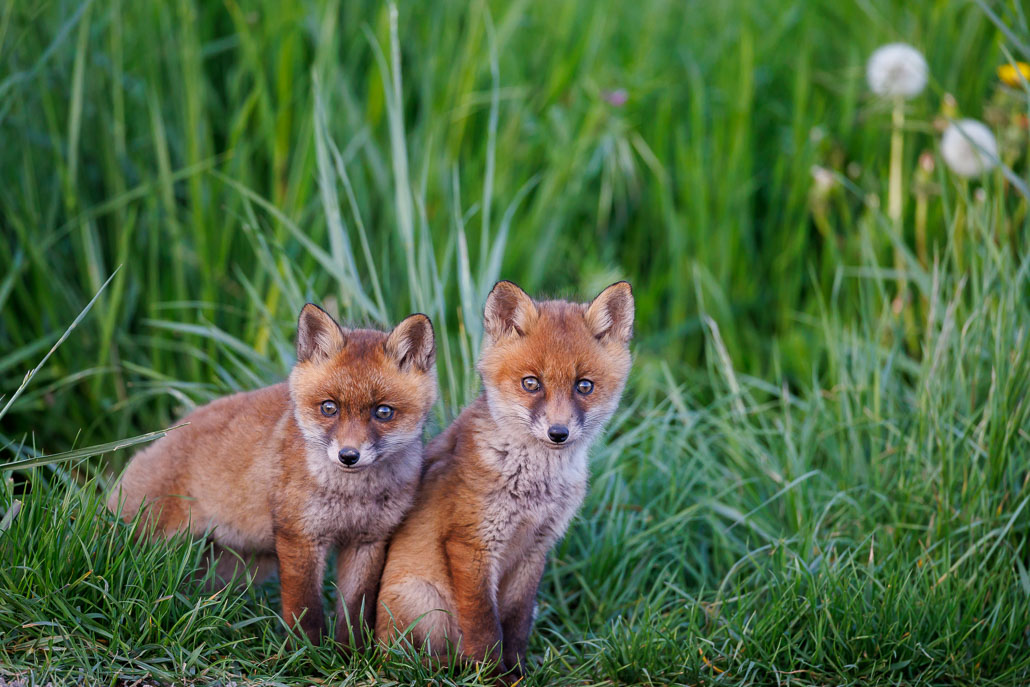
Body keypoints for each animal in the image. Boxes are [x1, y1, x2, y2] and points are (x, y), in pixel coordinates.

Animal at [107, 303, 437, 648]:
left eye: (383, 412)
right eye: (329, 408)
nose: (348, 456)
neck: (352, 495)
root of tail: (163, 434)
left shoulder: (368, 541)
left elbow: (354, 612)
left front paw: (351, 654)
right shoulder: (299, 537)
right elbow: (304, 609)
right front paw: (306, 654)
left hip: (235, 565)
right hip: (146, 538)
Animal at [375, 280, 634, 678]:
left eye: (584, 386)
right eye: (531, 383)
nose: (558, 433)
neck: (534, 489)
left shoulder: (535, 548)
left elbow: (515, 622)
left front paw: (519, 673)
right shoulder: (471, 544)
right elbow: (484, 626)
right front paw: (492, 675)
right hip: (423, 600)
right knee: (410, 659)